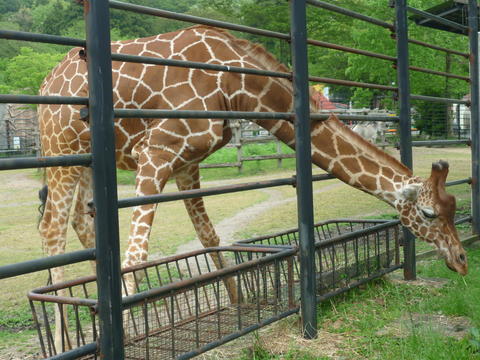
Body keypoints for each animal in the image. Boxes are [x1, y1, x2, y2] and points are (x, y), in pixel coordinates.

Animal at [38, 24, 468, 352]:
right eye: (429, 213)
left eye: (452, 208)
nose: (462, 261)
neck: (236, 84)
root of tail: (44, 87)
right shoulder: (157, 150)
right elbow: (136, 257)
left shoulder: (188, 161)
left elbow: (209, 237)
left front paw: (238, 302)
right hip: (61, 150)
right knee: (51, 228)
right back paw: (63, 344)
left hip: (86, 160)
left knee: (79, 221)